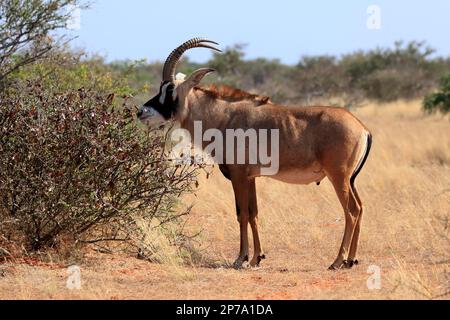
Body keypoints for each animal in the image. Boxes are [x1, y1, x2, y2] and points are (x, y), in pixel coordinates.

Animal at [140, 39, 372, 270]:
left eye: (170, 89)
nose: (141, 112)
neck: (224, 117)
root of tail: (362, 128)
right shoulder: (250, 177)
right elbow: (253, 214)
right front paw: (256, 258)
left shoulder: (238, 176)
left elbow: (241, 214)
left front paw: (240, 258)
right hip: (350, 180)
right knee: (360, 208)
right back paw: (351, 259)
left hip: (338, 177)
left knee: (351, 211)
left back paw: (338, 261)